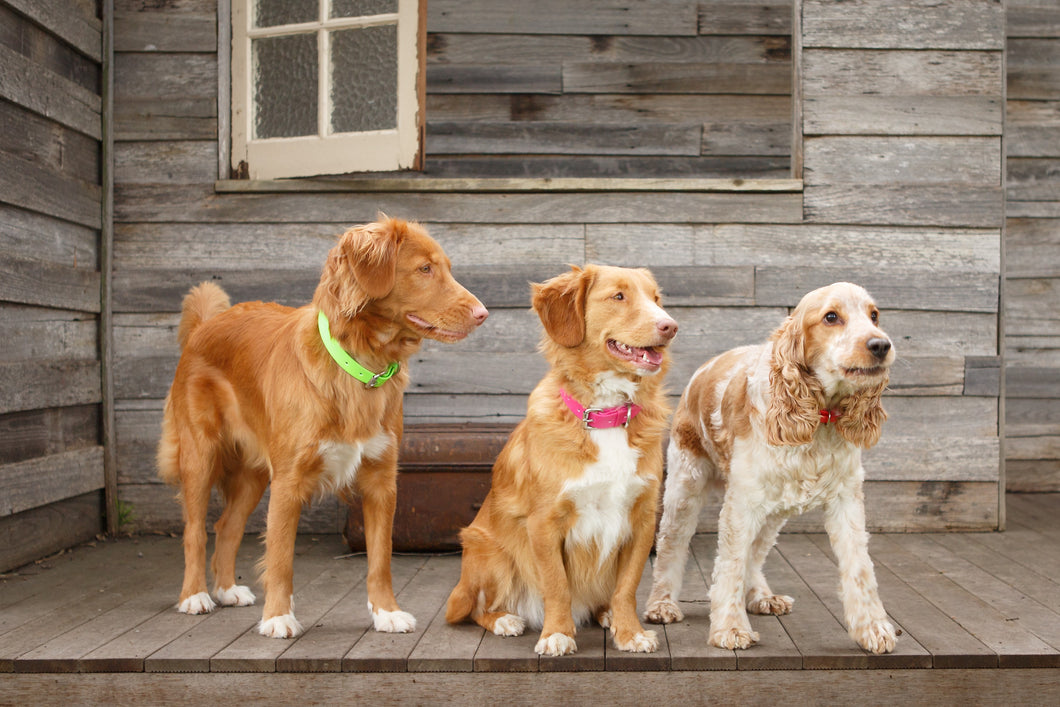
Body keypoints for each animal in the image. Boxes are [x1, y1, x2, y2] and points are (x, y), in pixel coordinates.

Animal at [156, 218, 487, 640]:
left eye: (446, 268)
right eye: (425, 269)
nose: (483, 313)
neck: (362, 364)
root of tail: (205, 326)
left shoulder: (381, 481)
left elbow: (381, 559)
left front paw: (386, 612)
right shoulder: (289, 481)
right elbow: (280, 558)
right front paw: (278, 617)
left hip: (253, 473)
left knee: (226, 525)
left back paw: (228, 589)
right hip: (201, 455)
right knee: (196, 529)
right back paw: (194, 595)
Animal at [443, 264, 674, 657]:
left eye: (657, 299)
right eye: (619, 296)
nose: (670, 326)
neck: (604, 413)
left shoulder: (642, 519)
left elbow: (627, 587)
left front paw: (629, 632)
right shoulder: (544, 523)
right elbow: (556, 585)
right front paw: (557, 634)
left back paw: (605, 613)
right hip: (488, 550)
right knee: (476, 607)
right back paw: (504, 619)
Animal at [640, 279, 898, 652]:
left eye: (874, 315)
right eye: (831, 317)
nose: (881, 345)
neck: (818, 416)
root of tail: (703, 369)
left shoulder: (846, 499)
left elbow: (859, 566)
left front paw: (874, 628)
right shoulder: (740, 504)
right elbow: (731, 563)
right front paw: (731, 629)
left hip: (775, 513)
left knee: (756, 552)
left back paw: (762, 596)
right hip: (684, 486)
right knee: (671, 546)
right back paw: (661, 605)